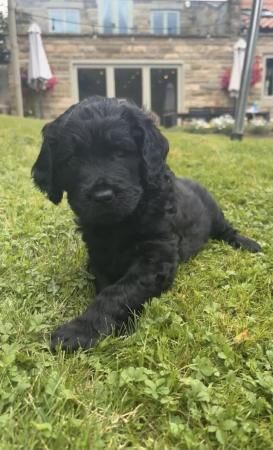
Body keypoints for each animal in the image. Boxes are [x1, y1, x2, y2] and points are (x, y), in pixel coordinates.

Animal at [31, 96, 260, 352]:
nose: (102, 195)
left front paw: (79, 330)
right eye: (72, 160)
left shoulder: (157, 256)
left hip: (214, 212)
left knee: (227, 230)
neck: (121, 222)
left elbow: (119, 292)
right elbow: (107, 286)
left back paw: (248, 243)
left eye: (121, 152)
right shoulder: (99, 255)